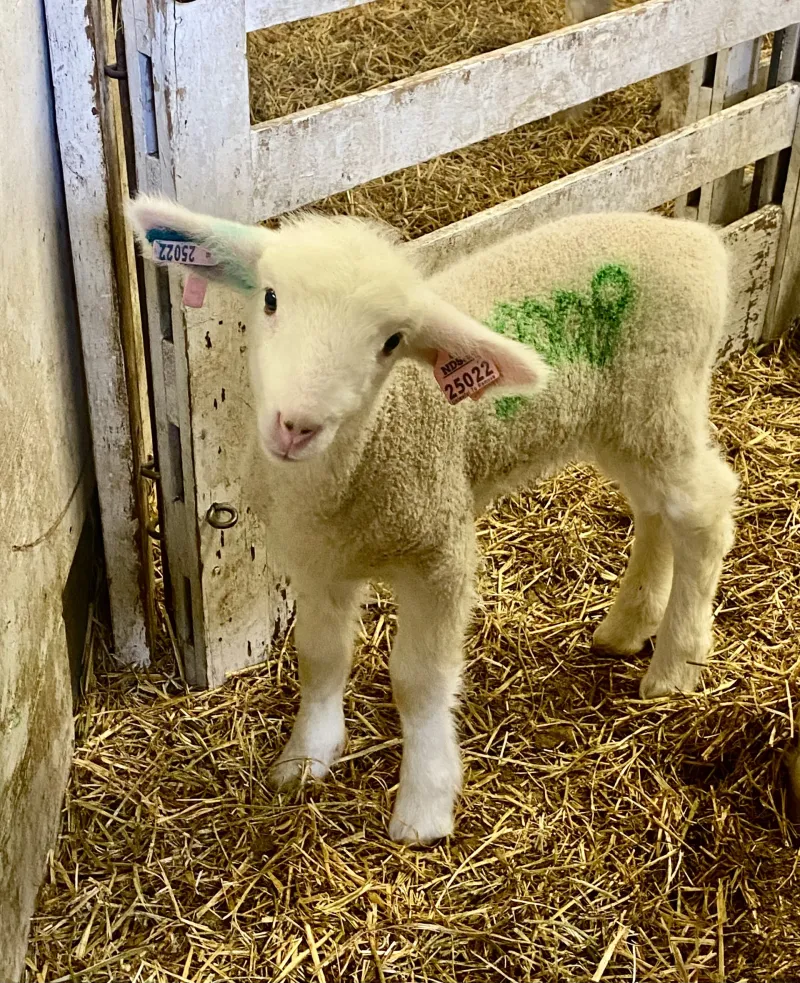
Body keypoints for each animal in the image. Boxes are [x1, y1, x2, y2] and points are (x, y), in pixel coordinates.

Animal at [128, 197, 738, 845]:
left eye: (393, 341)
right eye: (269, 298)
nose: (297, 426)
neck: (359, 462)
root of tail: (695, 239)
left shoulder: (439, 552)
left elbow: (419, 681)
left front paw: (423, 806)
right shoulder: (317, 562)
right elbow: (320, 657)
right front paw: (304, 759)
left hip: (661, 395)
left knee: (705, 511)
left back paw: (677, 664)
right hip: (624, 423)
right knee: (656, 512)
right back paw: (628, 625)